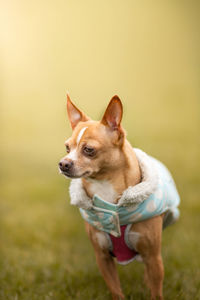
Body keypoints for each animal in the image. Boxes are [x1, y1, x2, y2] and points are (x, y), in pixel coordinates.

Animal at [58, 94, 180, 300]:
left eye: (89, 149)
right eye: (67, 148)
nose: (63, 163)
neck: (105, 188)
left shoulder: (153, 257)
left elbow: (156, 292)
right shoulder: (103, 258)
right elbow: (116, 290)